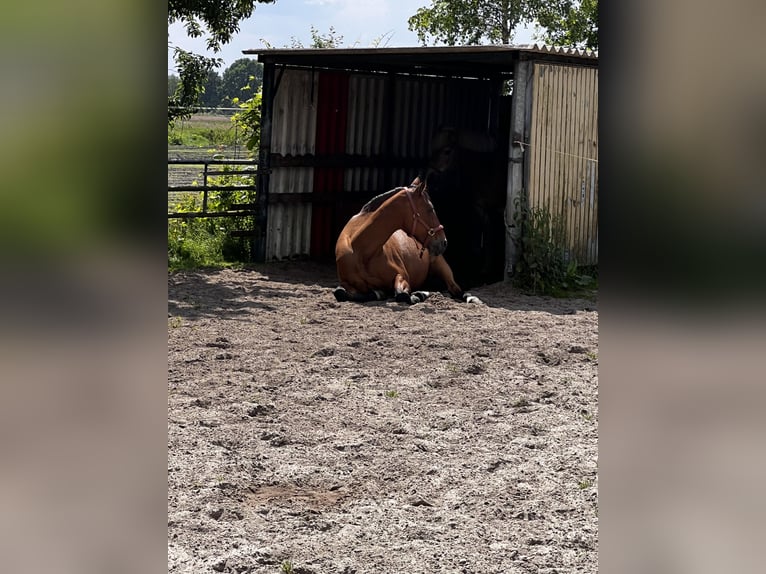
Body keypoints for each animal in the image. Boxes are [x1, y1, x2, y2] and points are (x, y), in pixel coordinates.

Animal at [334, 180, 484, 306]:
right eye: (430, 209)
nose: (444, 242)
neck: (362, 251)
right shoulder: (346, 283)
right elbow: (340, 293)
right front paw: (379, 293)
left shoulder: (402, 275)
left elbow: (402, 295)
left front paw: (417, 295)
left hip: (442, 266)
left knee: (456, 289)